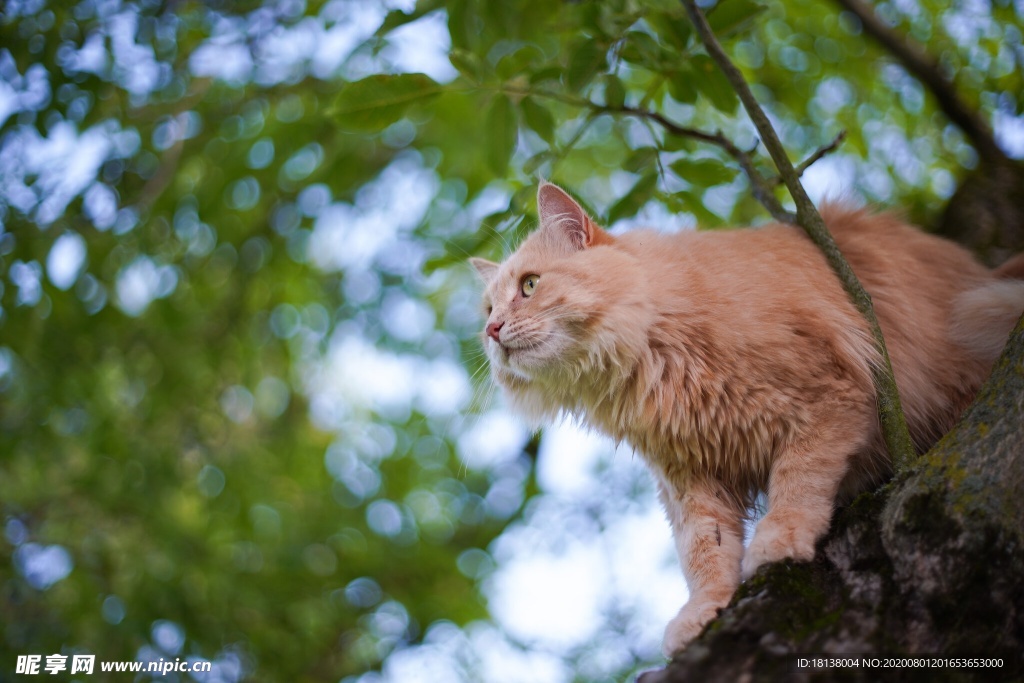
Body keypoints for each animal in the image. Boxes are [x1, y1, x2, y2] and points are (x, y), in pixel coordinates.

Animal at [468, 181, 1024, 655]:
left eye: (530, 286)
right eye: (488, 309)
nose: (493, 331)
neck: (652, 361)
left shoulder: (832, 395)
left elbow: (797, 479)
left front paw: (779, 540)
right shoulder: (690, 479)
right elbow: (703, 552)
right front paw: (705, 609)